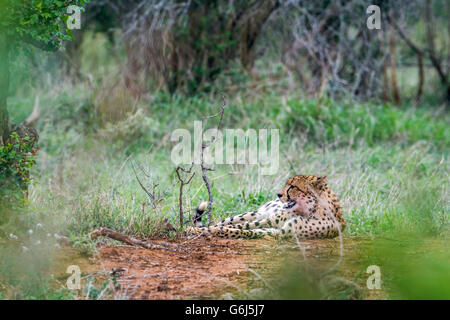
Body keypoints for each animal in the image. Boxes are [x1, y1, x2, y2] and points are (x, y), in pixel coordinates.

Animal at [188, 175, 346, 240]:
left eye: (293, 186)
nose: (279, 194)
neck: (311, 210)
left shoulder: (279, 231)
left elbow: (244, 230)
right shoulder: (271, 220)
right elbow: (236, 226)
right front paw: (195, 230)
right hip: (256, 213)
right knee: (226, 221)